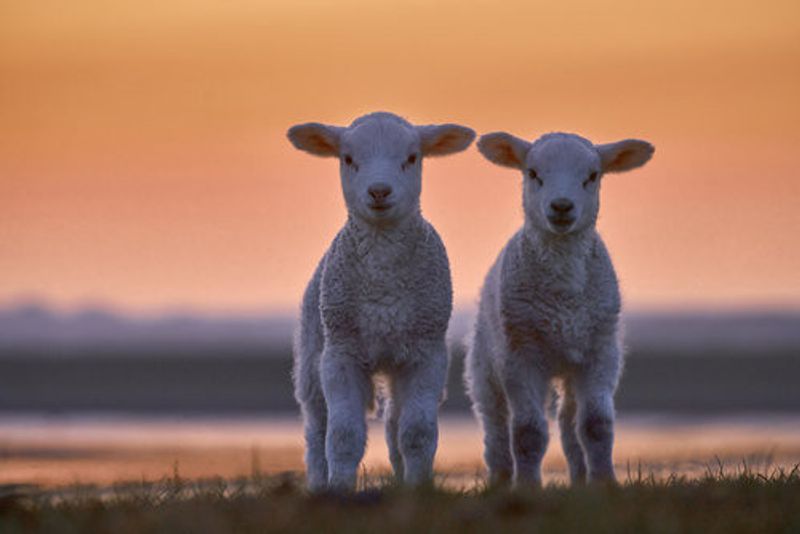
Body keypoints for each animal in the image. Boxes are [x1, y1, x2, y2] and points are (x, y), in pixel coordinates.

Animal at [287, 112, 475, 491]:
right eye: (347, 159)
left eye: (412, 158)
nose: (379, 191)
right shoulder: (340, 354)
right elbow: (342, 436)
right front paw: (340, 490)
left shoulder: (426, 354)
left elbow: (416, 433)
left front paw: (418, 488)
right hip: (312, 357)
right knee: (316, 431)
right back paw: (318, 483)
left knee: (393, 424)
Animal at [464, 131, 654, 487]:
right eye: (532, 173)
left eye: (592, 176)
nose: (562, 206)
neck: (563, 297)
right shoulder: (520, 355)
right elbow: (528, 432)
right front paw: (527, 487)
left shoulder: (600, 352)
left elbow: (595, 426)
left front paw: (604, 483)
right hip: (485, 363)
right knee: (495, 425)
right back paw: (500, 479)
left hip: (571, 365)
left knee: (569, 423)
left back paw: (579, 479)